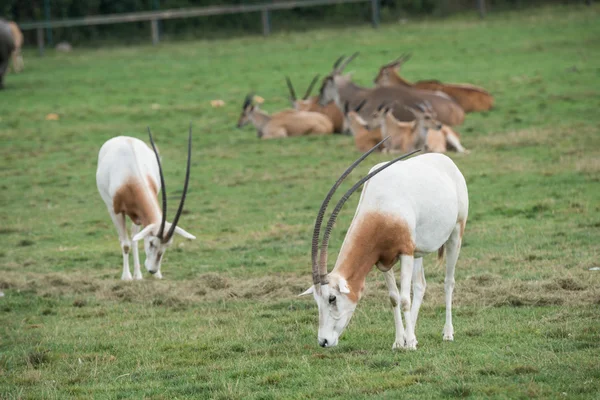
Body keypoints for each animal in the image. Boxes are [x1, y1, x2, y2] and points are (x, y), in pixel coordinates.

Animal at [300, 143, 468, 350]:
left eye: (332, 298)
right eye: (316, 299)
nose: (323, 341)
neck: (381, 206)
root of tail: (447, 161)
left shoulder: (405, 252)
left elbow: (404, 299)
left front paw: (409, 344)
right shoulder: (383, 260)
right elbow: (394, 298)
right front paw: (400, 341)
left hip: (455, 234)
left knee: (448, 281)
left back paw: (447, 333)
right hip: (418, 251)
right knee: (420, 285)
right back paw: (412, 334)